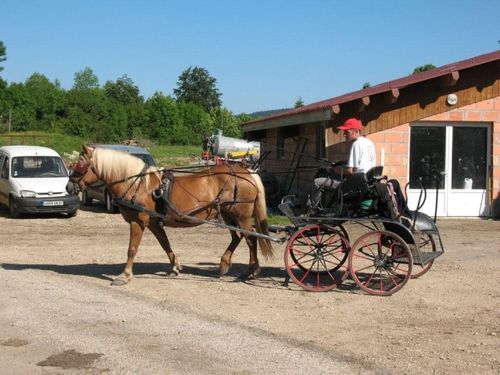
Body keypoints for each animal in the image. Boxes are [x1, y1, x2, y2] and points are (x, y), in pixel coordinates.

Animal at [68, 145, 274, 286]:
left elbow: (132, 249)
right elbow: (165, 244)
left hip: (241, 216)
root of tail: (247, 172)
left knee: (251, 239)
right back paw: (226, 265)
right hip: (229, 215)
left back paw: (251, 271)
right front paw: (174, 267)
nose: (69, 186)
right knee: (238, 238)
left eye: (81, 163)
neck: (138, 184)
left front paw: (124, 276)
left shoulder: (138, 221)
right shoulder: (153, 223)